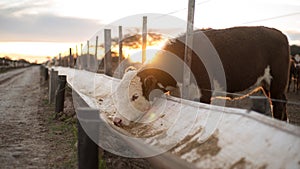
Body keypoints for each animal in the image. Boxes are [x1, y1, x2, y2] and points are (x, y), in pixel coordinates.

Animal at [113, 26, 290, 126]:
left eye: (135, 96)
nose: (117, 120)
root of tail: (278, 33)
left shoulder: (203, 94)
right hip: (268, 85)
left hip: (277, 83)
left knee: (278, 105)